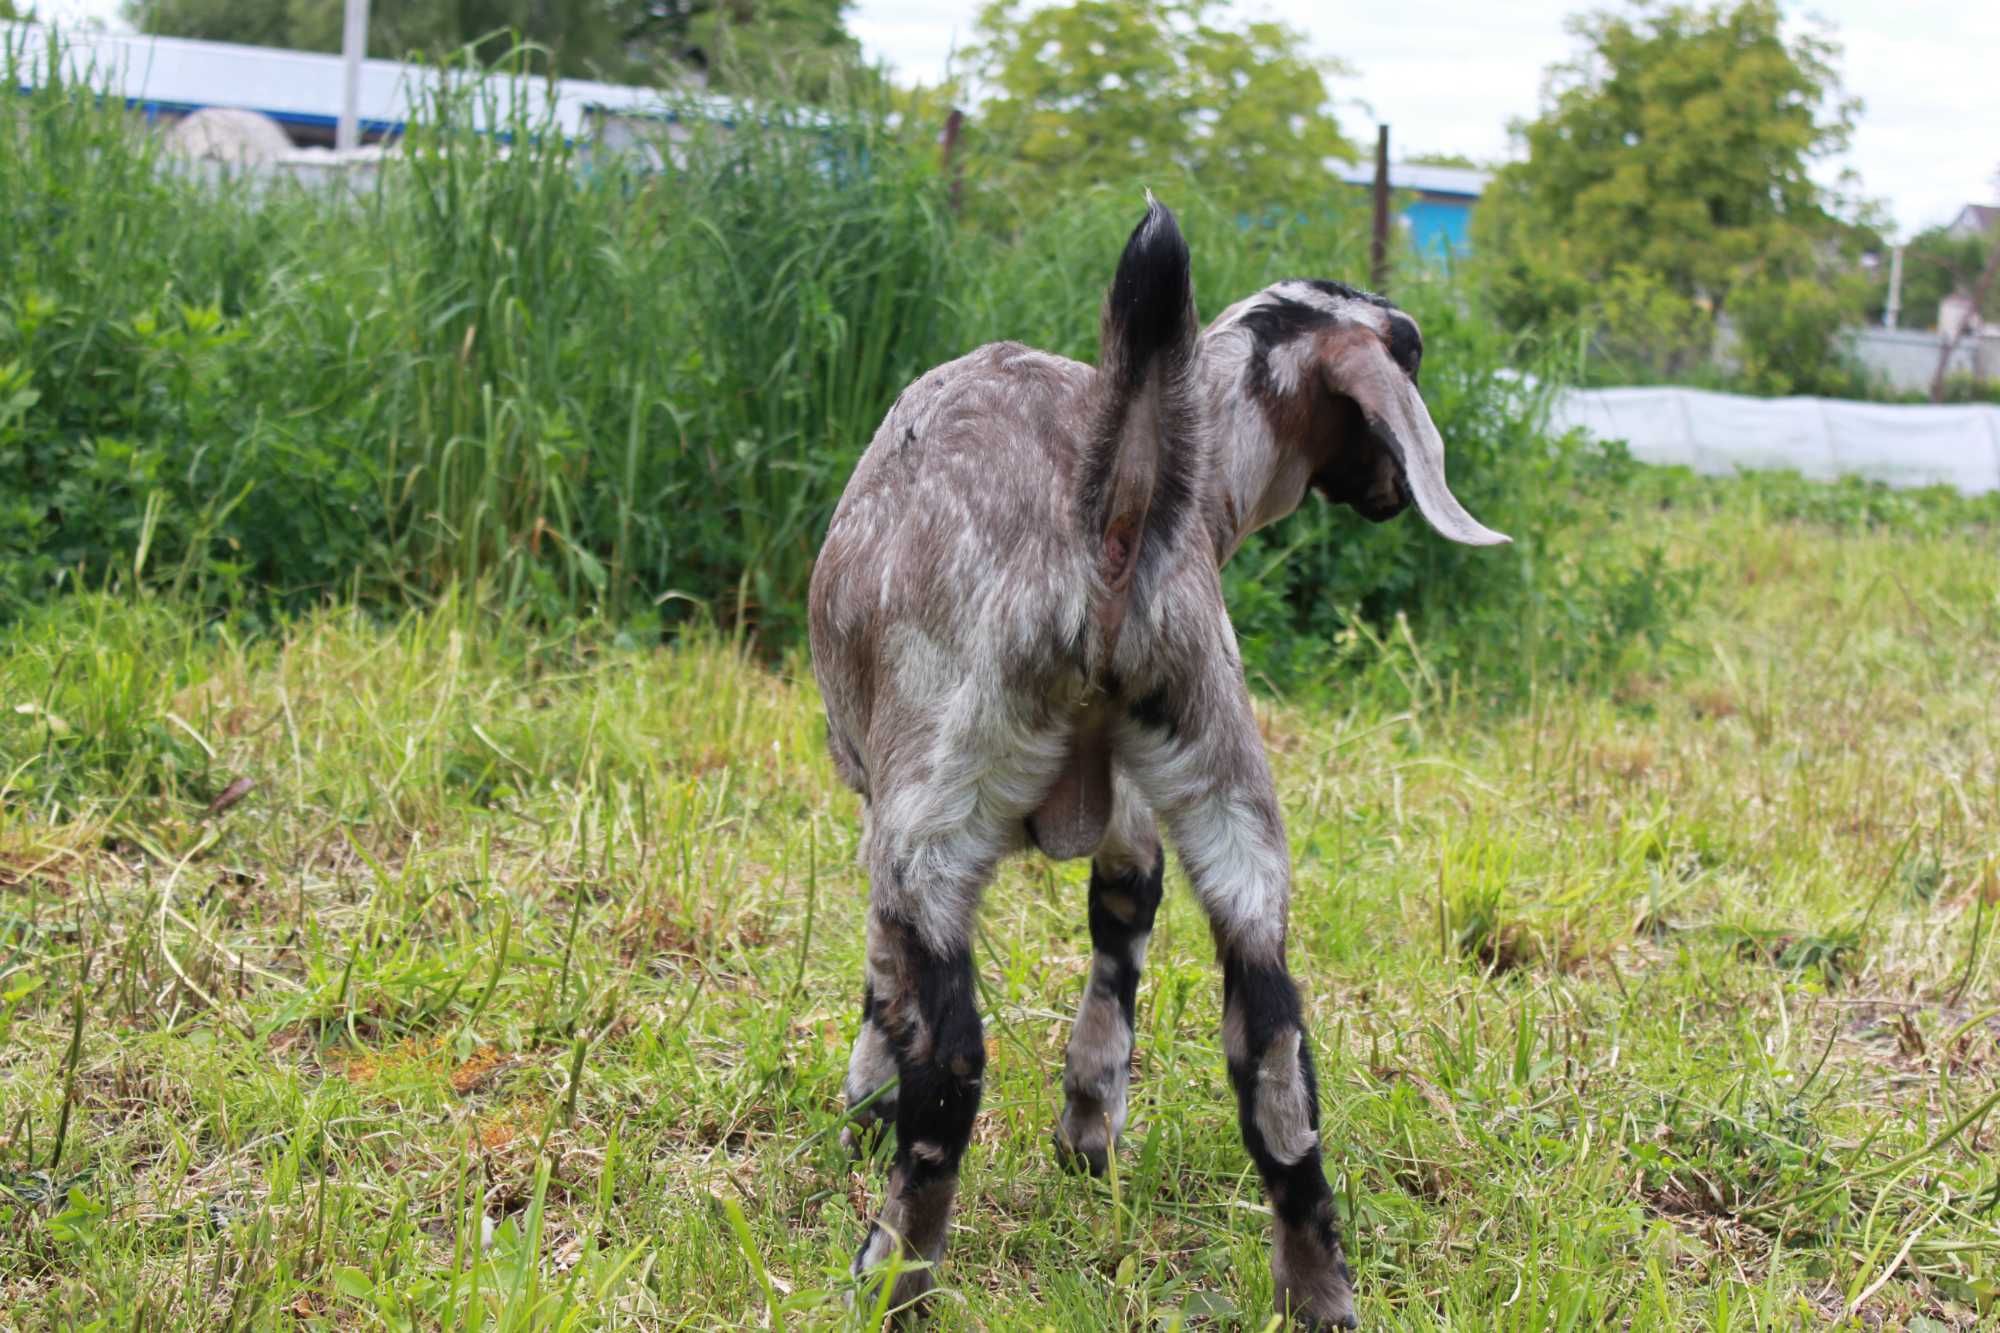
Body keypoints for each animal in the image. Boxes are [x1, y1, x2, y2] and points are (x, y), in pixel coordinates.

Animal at [804, 192, 1504, 1320]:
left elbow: (883, 979)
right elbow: (1122, 930)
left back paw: (891, 1273)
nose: (1396, 490)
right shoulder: (1138, 810)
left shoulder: (879, 803)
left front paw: (862, 1105)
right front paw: (1089, 1133)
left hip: (936, 791)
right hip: (1223, 773)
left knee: (953, 1060)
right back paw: (1317, 1294)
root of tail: (1116, 512)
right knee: (1271, 1047)